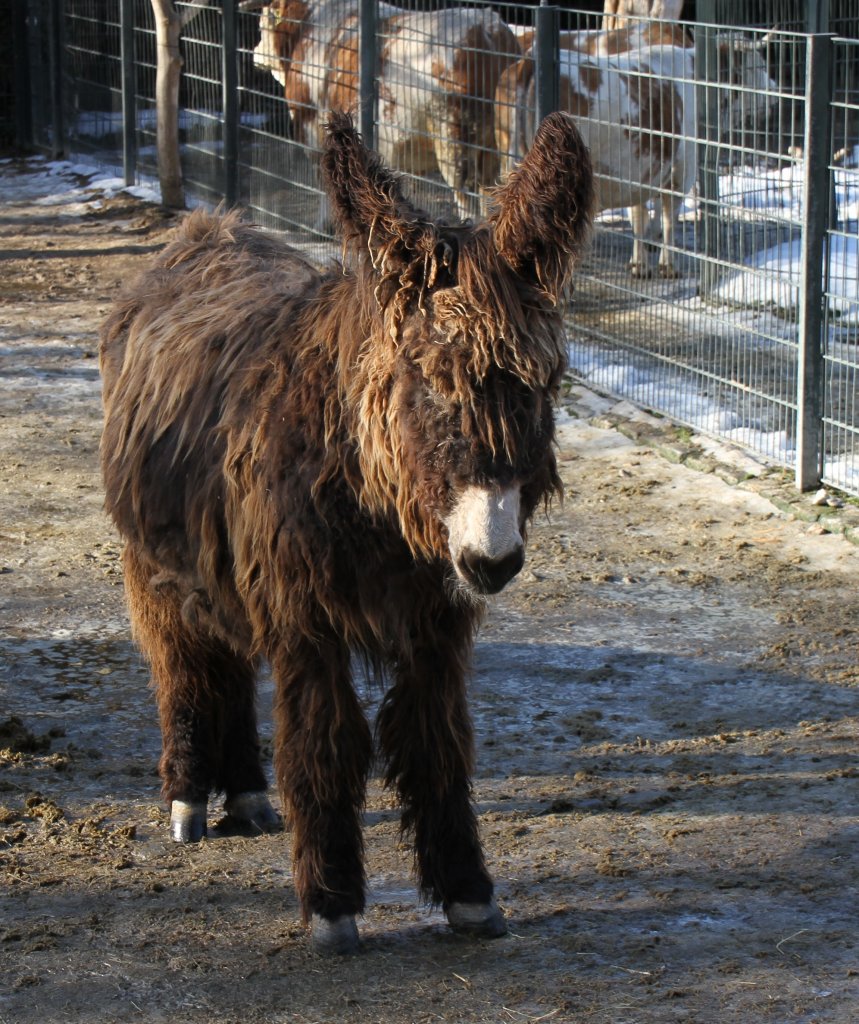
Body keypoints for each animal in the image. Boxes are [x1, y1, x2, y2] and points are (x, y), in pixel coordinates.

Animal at [100, 110, 593, 950]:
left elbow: (435, 747)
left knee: (232, 663)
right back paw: (190, 796)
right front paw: (331, 905)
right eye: (427, 381)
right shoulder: (307, 620)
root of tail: (206, 227)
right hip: (156, 568)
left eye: (540, 385)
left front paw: (467, 892)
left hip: (226, 566)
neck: (375, 504)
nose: (492, 560)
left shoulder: (433, 623)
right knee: (184, 668)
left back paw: (247, 793)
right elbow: (325, 747)